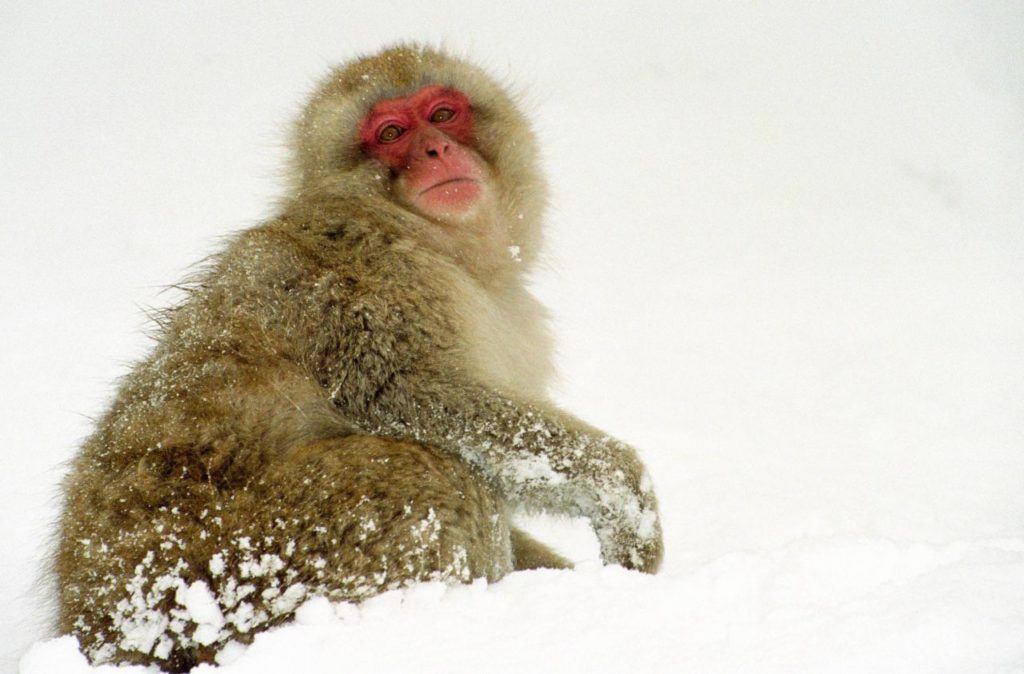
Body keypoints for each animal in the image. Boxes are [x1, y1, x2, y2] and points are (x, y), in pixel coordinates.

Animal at [55, 44, 663, 671]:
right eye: (391, 133)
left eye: (443, 114)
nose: (436, 149)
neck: (423, 238)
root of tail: (96, 626)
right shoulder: (364, 285)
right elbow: (405, 394)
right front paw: (623, 495)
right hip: (234, 570)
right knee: (440, 480)